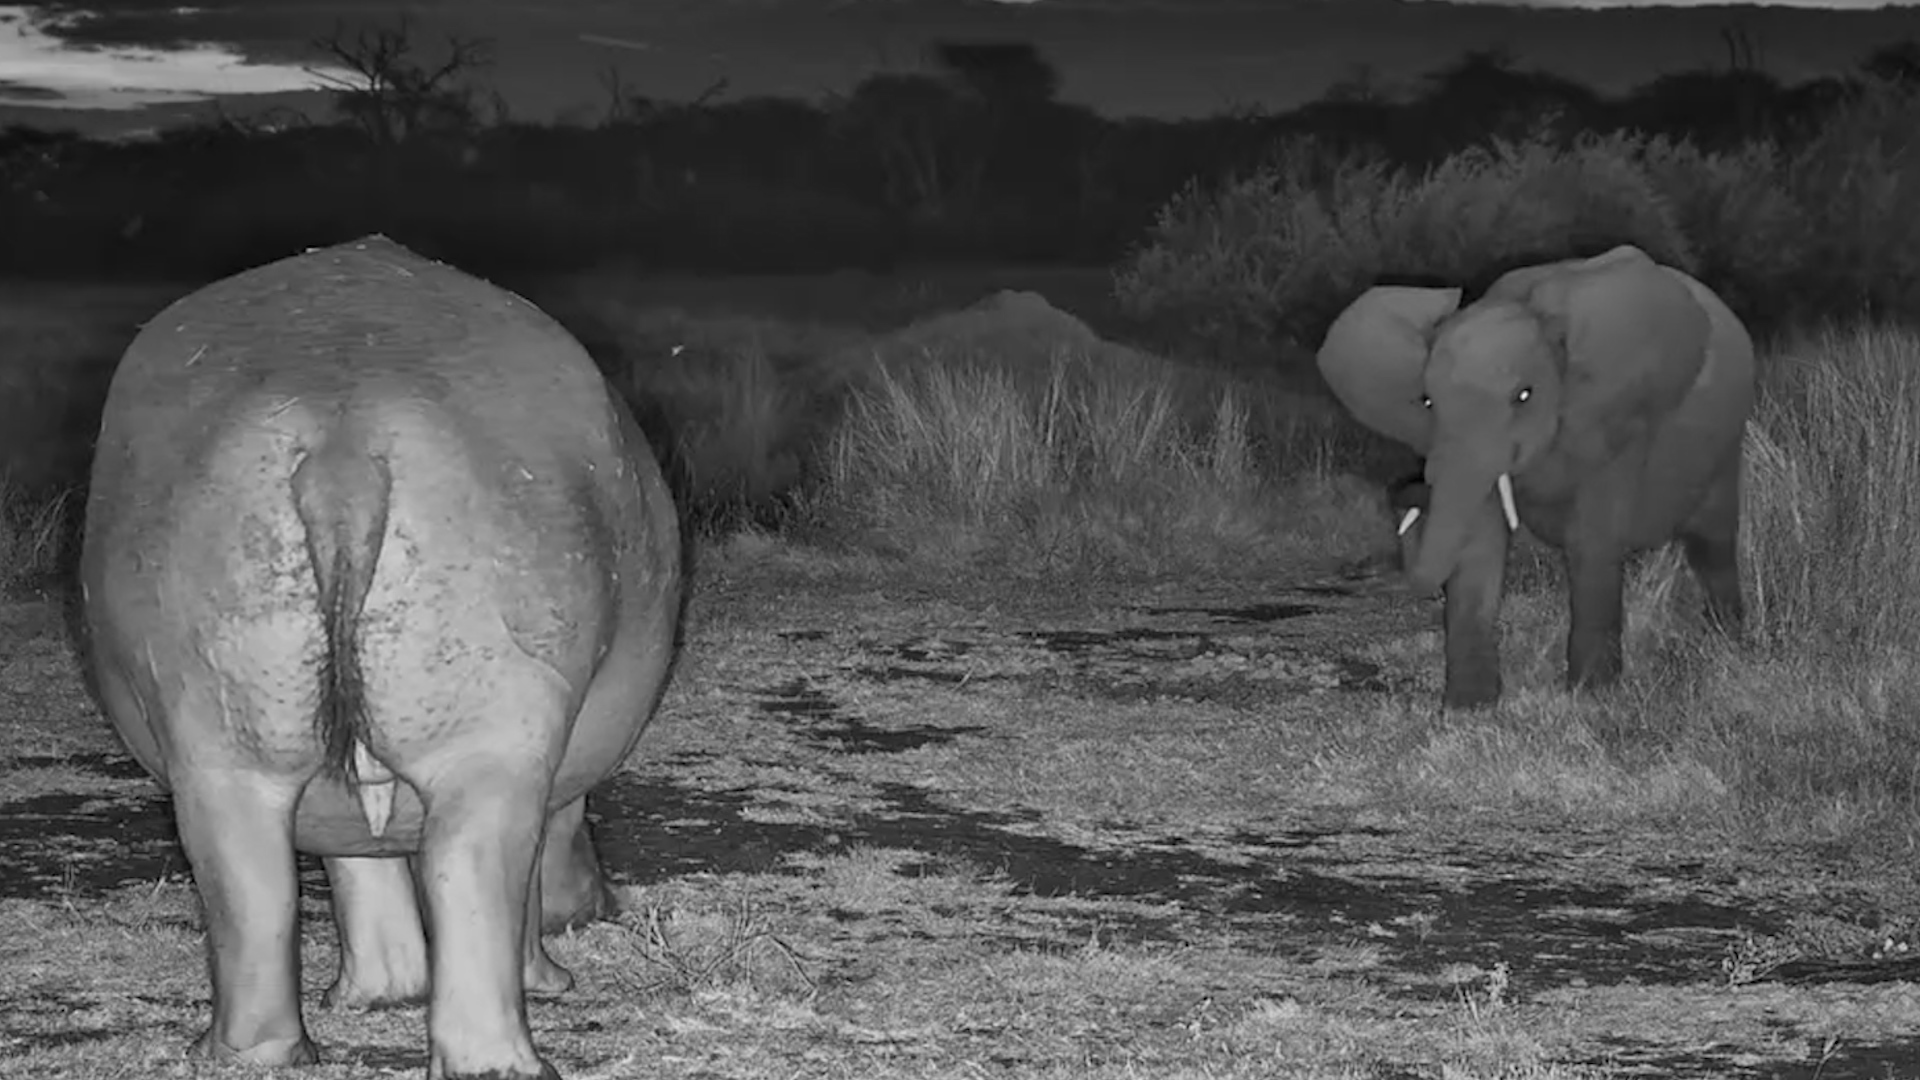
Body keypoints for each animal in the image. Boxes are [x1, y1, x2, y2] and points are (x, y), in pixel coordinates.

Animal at [79, 236, 684, 1080]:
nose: (605, 904)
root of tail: (344, 436)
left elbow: (359, 868)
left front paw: (374, 997)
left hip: (221, 744)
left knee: (248, 886)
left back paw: (253, 1055)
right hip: (489, 746)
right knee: (475, 875)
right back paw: (510, 1062)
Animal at [1317, 244, 1754, 708]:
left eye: (1523, 396)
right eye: (1428, 402)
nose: (1408, 492)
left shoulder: (1616, 422)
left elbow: (1591, 541)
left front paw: (1591, 695)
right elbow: (1480, 546)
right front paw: (1469, 709)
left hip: (1726, 440)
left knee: (1713, 544)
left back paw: (1726, 646)